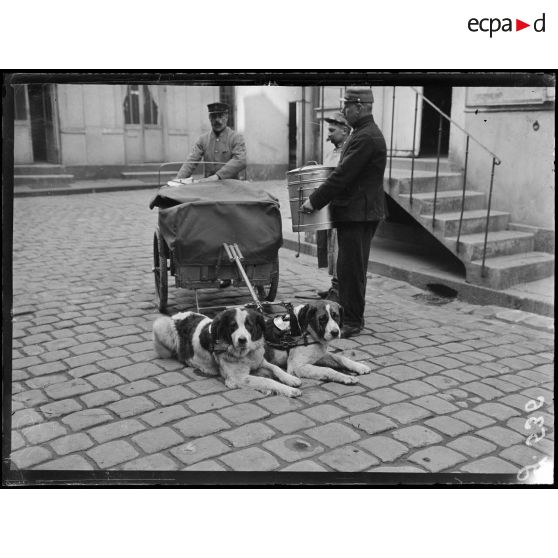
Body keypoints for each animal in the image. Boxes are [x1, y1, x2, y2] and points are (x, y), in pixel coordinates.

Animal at [152, 310, 302, 398]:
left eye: (249, 325)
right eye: (232, 326)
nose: (242, 340)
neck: (245, 354)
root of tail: (176, 316)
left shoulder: (258, 360)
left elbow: (275, 368)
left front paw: (291, 379)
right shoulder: (237, 378)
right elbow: (266, 380)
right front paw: (289, 390)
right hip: (160, 324)